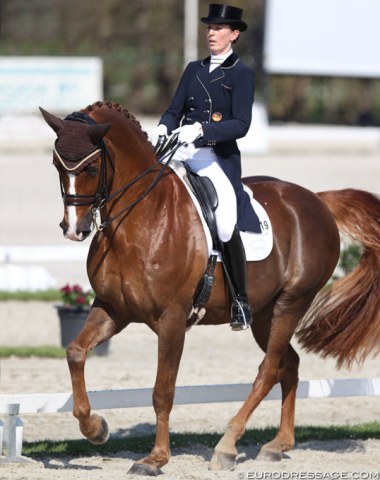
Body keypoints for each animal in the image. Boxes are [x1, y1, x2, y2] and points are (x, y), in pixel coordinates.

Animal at [40, 102, 378, 476]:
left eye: (92, 166)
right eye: (57, 164)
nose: (74, 229)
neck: (139, 221)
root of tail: (316, 199)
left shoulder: (172, 319)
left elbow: (163, 390)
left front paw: (156, 458)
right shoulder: (113, 309)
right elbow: (75, 352)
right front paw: (95, 428)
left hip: (291, 303)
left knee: (268, 371)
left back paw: (227, 447)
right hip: (264, 314)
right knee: (288, 364)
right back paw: (278, 444)